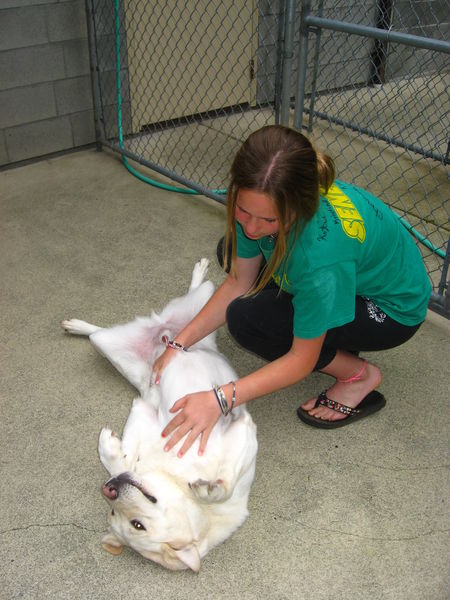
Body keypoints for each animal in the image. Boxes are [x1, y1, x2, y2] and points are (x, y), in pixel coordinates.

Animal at [61, 258, 256, 572]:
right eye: (113, 514)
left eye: (137, 525)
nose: (109, 489)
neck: (176, 477)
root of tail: (162, 331)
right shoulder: (145, 410)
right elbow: (123, 459)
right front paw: (111, 448)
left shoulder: (243, 430)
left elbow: (225, 484)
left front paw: (208, 490)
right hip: (108, 343)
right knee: (97, 331)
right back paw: (77, 325)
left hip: (208, 303)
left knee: (200, 291)